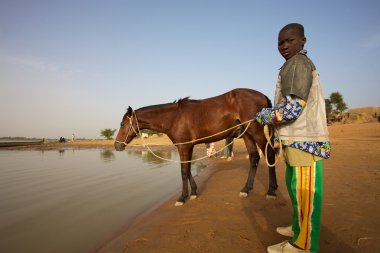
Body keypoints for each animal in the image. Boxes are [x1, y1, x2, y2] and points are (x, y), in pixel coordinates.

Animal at [114, 88, 278, 207]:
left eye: (122, 124)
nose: (116, 145)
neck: (173, 118)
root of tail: (262, 96)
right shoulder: (188, 146)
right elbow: (187, 169)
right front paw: (193, 192)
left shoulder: (183, 147)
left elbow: (183, 171)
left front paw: (182, 197)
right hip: (247, 135)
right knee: (254, 157)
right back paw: (246, 189)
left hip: (256, 132)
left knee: (269, 154)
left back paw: (271, 190)